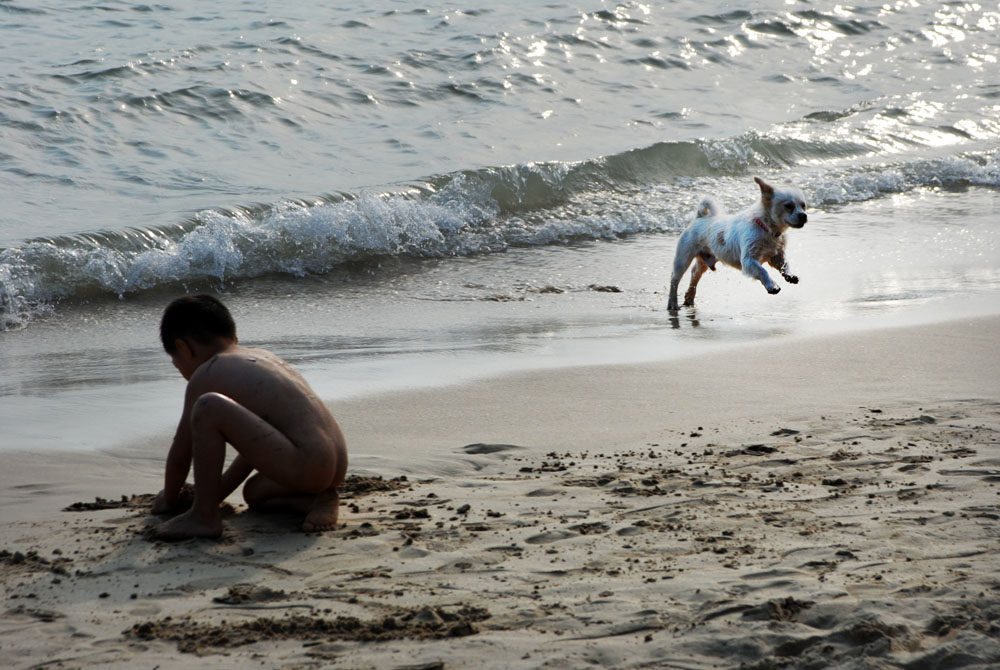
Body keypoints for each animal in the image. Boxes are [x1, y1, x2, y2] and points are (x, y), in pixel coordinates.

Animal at [668, 175, 808, 312]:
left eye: (803, 205)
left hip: (703, 261)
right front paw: (772, 285)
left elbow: (784, 264)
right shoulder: (748, 261)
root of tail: (699, 218)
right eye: (788, 206)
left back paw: (689, 298)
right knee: (675, 279)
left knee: (695, 273)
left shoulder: (776, 255)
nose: (804, 215)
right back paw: (673, 303)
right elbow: (762, 271)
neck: (768, 228)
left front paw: (789, 275)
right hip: (683, 258)